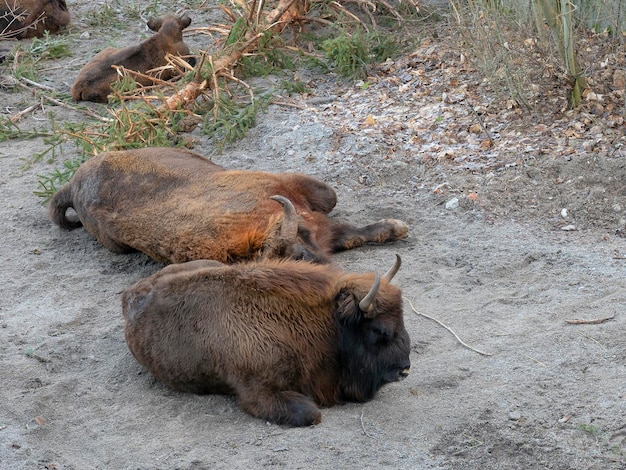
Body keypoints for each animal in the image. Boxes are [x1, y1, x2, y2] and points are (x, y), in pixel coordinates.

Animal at [48, 147, 410, 264]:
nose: (311, 261)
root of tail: (74, 184)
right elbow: (346, 232)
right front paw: (396, 227)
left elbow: (334, 205)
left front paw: (396, 227)